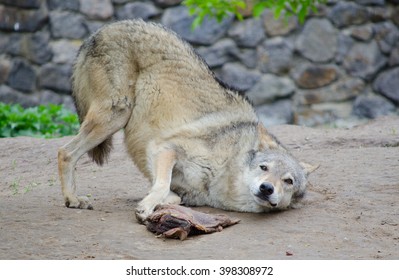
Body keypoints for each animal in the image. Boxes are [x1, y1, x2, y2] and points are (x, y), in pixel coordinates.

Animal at [57, 19, 318, 223]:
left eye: (288, 181)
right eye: (264, 168)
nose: (267, 188)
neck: (225, 168)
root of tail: (100, 30)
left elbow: (172, 195)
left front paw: (157, 204)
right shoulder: (164, 147)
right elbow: (162, 185)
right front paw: (146, 206)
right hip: (116, 115)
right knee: (65, 152)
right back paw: (73, 199)